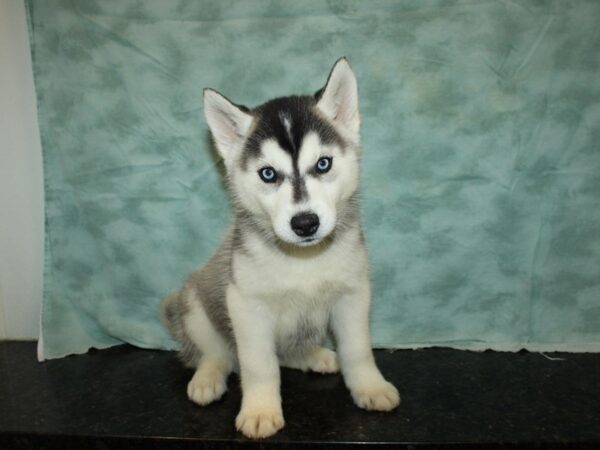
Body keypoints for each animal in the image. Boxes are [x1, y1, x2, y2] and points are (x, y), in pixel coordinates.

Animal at [162, 58, 400, 438]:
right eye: (268, 174)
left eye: (323, 163)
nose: (305, 223)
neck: (303, 259)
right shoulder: (246, 304)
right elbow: (260, 365)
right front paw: (260, 410)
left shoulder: (353, 294)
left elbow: (358, 348)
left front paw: (370, 386)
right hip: (195, 305)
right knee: (217, 354)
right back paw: (207, 378)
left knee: (286, 353)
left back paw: (316, 356)